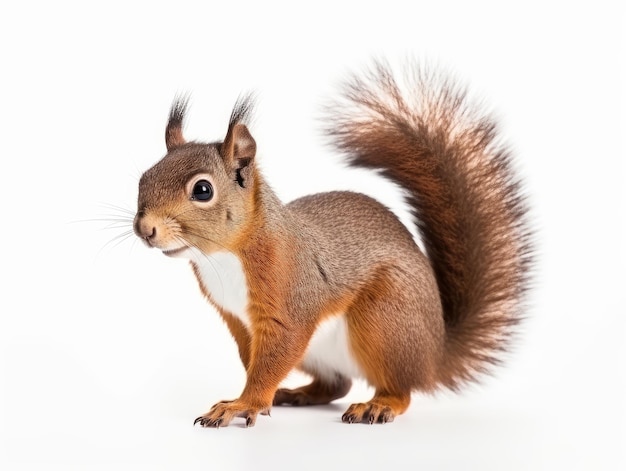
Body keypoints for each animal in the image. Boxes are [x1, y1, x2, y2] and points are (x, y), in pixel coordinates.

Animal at [132, 60, 532, 428]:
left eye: (202, 190)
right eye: (143, 178)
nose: (145, 229)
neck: (224, 257)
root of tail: (433, 356)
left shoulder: (291, 298)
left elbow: (274, 356)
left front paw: (243, 404)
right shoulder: (238, 322)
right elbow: (255, 361)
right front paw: (259, 398)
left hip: (384, 319)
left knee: (401, 389)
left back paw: (378, 405)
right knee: (336, 384)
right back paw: (295, 394)